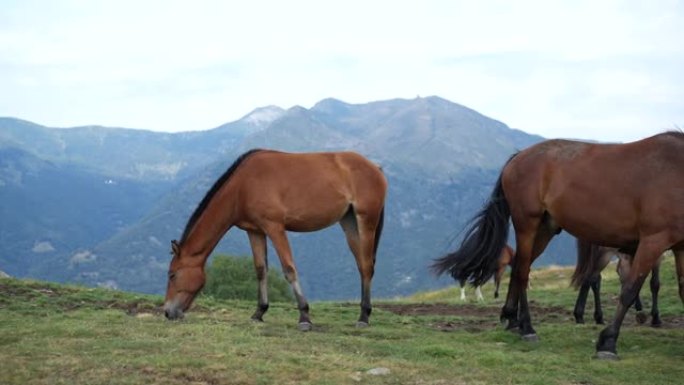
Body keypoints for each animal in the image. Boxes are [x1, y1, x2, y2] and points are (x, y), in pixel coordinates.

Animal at [164, 148, 388, 328]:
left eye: (172, 275)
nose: (167, 312)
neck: (243, 187)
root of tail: (376, 168)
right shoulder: (255, 231)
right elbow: (260, 270)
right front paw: (259, 312)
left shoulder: (275, 227)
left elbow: (289, 269)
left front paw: (304, 317)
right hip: (349, 223)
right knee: (361, 265)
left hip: (366, 221)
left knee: (366, 266)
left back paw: (364, 317)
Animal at [432, 133, 684, 360]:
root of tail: (517, 158)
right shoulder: (653, 240)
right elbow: (630, 290)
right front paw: (608, 343)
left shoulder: (680, 248)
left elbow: (680, 289)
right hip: (528, 224)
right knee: (523, 271)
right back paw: (527, 327)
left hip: (546, 229)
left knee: (521, 267)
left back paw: (512, 318)